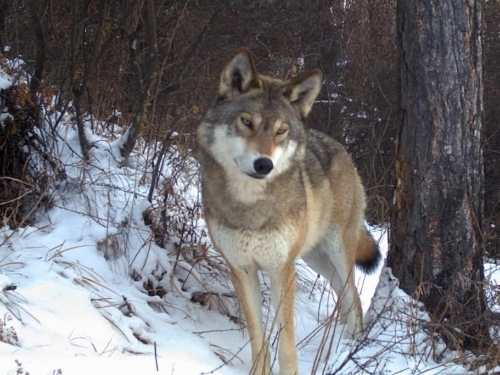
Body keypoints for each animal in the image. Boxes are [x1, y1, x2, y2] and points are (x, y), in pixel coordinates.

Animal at [197, 50, 380, 375]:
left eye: (281, 131)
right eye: (247, 122)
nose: (264, 164)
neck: (251, 208)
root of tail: (341, 148)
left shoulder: (282, 270)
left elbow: (286, 344)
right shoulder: (242, 270)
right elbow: (258, 338)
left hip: (336, 252)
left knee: (354, 297)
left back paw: (350, 347)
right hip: (315, 258)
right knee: (344, 295)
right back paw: (339, 345)